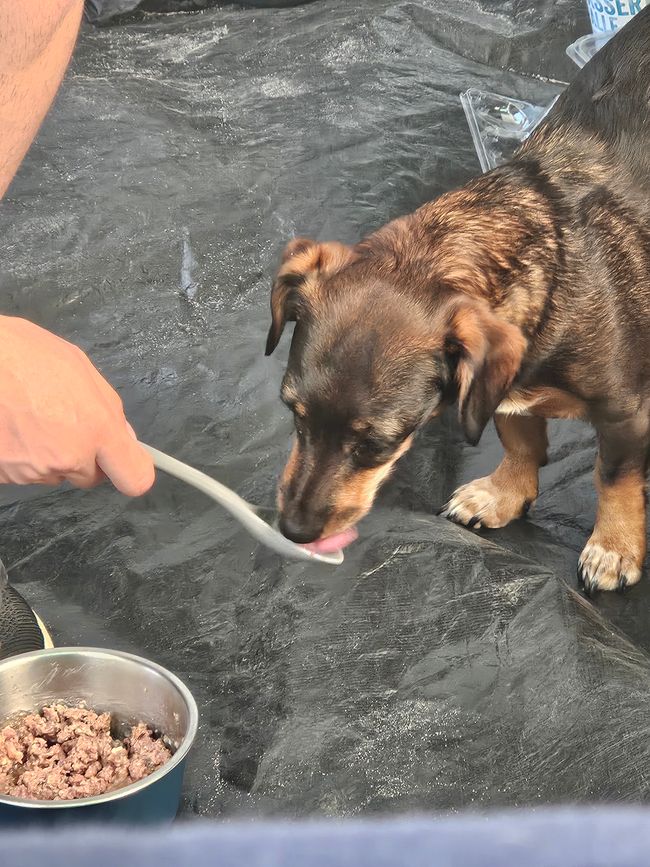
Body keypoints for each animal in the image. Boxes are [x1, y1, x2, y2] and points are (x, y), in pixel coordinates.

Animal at [264, 6, 648, 592]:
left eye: (377, 444)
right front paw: (502, 495)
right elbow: (519, 441)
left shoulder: (625, 414)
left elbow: (614, 477)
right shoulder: (502, 391)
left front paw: (614, 547)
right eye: (293, 414)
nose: (294, 531)